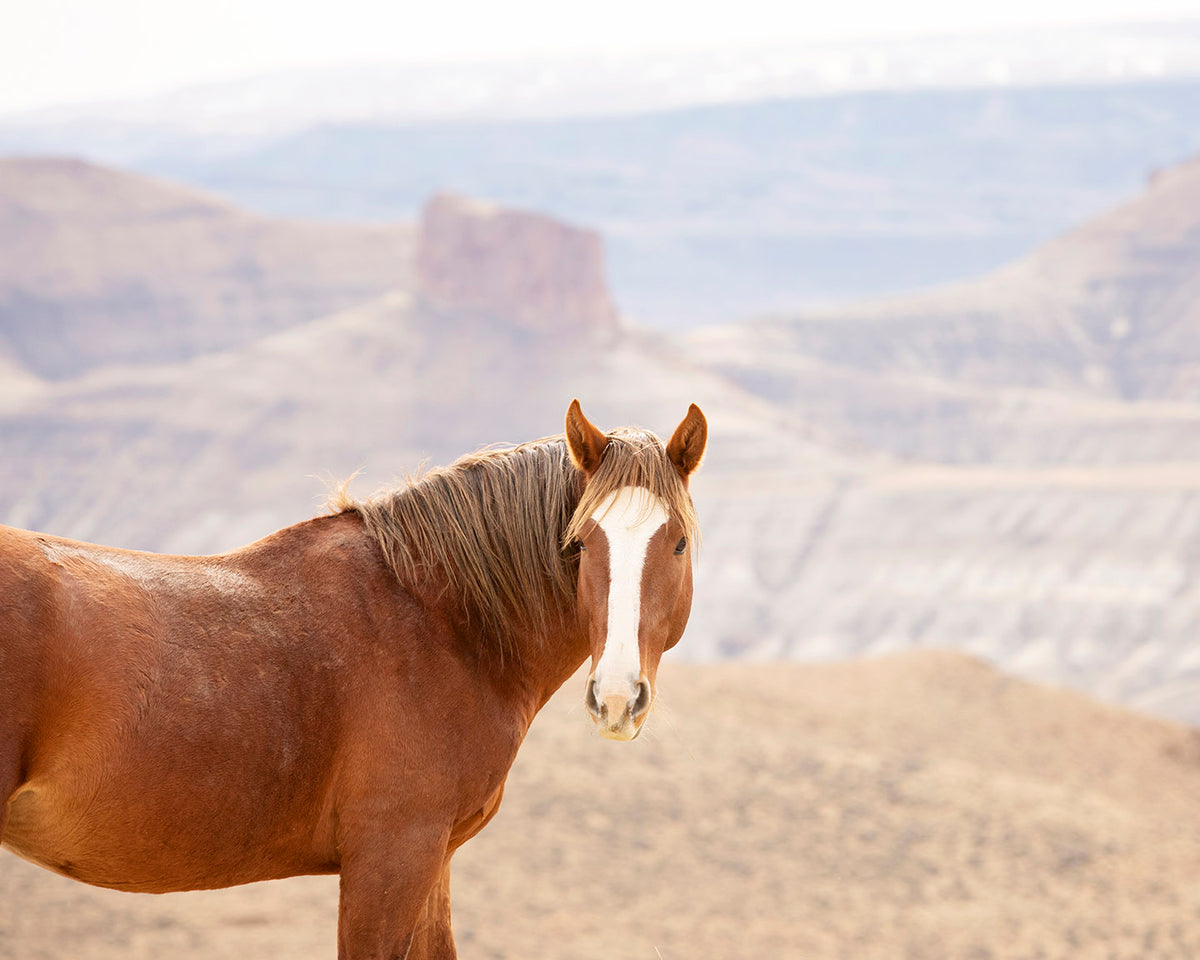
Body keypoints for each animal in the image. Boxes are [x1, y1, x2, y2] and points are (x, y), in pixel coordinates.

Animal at [0, 400, 705, 955]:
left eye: (677, 543)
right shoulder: (390, 858)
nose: (616, 699)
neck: (439, 619)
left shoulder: (433, 860)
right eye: (580, 543)